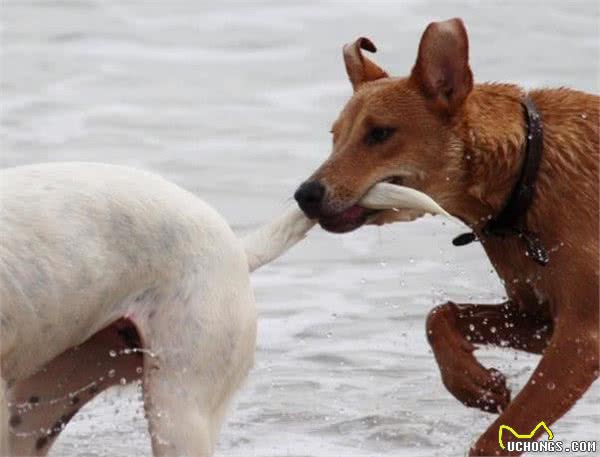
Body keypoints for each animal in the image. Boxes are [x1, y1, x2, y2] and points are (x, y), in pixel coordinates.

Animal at [292, 16, 596, 452]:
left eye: (380, 133)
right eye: (335, 136)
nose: (305, 194)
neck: (527, 173)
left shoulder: (581, 336)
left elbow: (500, 433)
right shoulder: (540, 318)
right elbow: (438, 315)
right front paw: (474, 383)